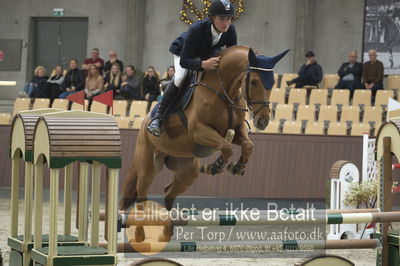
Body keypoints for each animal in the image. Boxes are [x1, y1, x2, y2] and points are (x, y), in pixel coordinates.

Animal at [119, 45, 288, 241]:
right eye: (253, 82)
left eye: (273, 83)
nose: (263, 121)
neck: (224, 91)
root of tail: (144, 122)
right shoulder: (198, 131)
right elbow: (227, 147)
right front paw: (215, 166)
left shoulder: (236, 130)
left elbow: (247, 145)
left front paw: (237, 167)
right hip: (148, 165)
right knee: (141, 195)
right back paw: (140, 236)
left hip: (187, 172)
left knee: (169, 192)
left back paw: (166, 234)